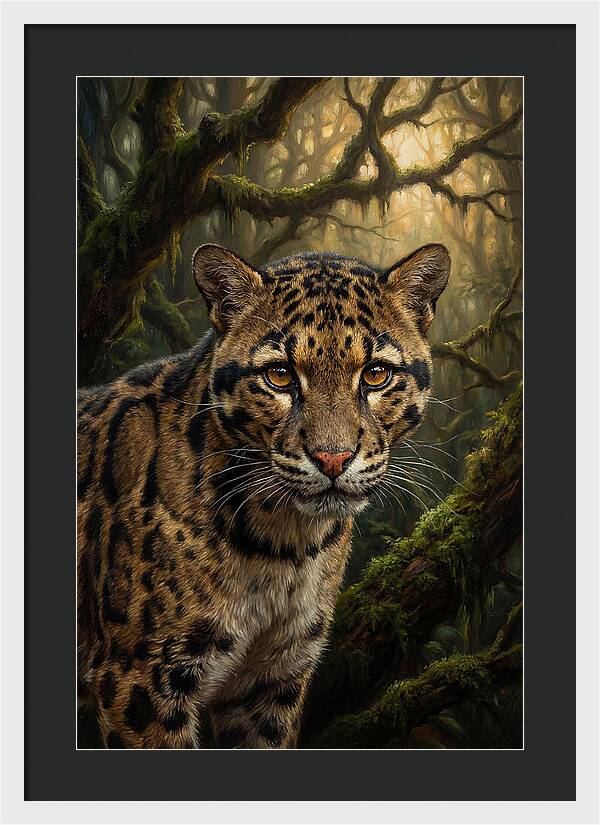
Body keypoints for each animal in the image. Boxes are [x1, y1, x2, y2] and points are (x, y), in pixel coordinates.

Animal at [77, 242, 450, 749]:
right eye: (279, 375)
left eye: (375, 375)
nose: (333, 458)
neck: (283, 543)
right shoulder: (140, 678)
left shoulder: (274, 678)